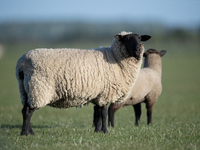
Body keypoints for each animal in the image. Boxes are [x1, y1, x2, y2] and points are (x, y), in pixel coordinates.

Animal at [15, 31, 151, 135]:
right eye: (126, 39)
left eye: (139, 39)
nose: (138, 50)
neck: (114, 57)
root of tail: (22, 63)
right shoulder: (105, 93)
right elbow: (104, 113)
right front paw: (105, 131)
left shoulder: (98, 94)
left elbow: (97, 113)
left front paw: (97, 131)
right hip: (38, 89)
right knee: (28, 111)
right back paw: (25, 133)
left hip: (25, 90)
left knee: (24, 110)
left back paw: (30, 132)